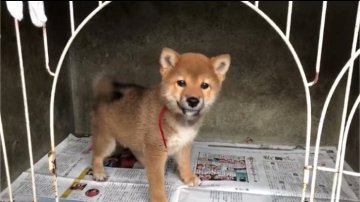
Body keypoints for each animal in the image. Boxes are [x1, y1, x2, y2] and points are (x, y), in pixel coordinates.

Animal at [90, 47, 231, 202]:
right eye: (181, 83)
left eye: (204, 85)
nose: (193, 100)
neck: (180, 119)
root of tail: (103, 95)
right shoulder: (156, 148)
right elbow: (157, 181)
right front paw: (159, 198)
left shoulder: (184, 143)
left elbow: (184, 163)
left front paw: (188, 177)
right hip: (107, 141)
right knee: (96, 155)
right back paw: (98, 172)